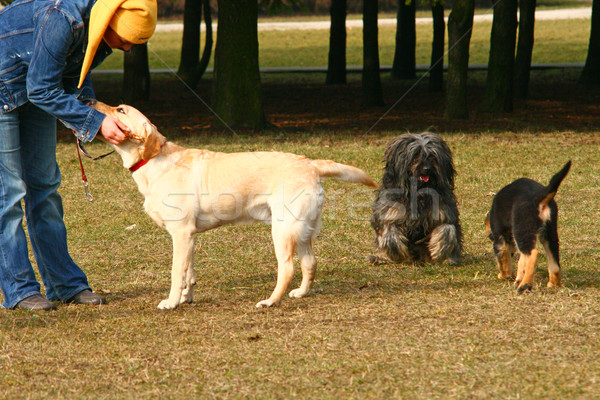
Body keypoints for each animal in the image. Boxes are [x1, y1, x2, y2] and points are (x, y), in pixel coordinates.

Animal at [92, 101, 378, 308]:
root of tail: (310, 163)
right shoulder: (189, 236)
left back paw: (270, 301)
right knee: (310, 263)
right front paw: (186, 298)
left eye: (120, 109)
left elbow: (176, 273)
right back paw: (301, 293)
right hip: (302, 231)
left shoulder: (180, 234)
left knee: (287, 268)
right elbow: (189, 274)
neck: (153, 161)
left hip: (282, 230)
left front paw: (172, 302)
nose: (88, 99)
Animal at [368, 132, 462, 266]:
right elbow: (389, 229)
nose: (426, 169)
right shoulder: (388, 211)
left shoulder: (445, 212)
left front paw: (441, 251)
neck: (418, 193)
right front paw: (396, 253)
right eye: (415, 156)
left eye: (432, 156)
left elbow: (447, 229)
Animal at [486, 161, 568, 292]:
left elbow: (503, 260)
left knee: (533, 253)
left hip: (523, 229)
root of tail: (540, 196)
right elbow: (521, 261)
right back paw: (553, 284)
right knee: (554, 262)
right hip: (550, 233)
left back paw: (525, 285)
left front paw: (504, 276)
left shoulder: (500, 240)